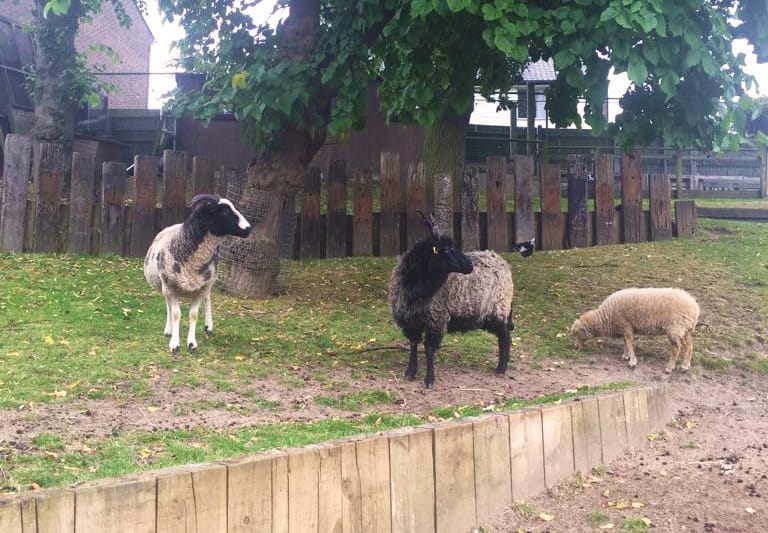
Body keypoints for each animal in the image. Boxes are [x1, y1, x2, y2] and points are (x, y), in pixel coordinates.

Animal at [144, 194, 252, 353]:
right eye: (224, 211)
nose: (249, 228)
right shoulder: (171, 288)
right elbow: (176, 314)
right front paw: (174, 343)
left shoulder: (200, 288)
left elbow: (193, 315)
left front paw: (191, 343)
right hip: (164, 286)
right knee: (168, 306)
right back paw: (169, 330)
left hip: (208, 282)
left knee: (208, 298)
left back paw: (208, 326)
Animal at [388, 211, 533, 387]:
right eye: (447, 249)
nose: (470, 265)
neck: (417, 288)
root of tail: (500, 259)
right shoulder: (410, 320)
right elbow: (413, 345)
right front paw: (410, 372)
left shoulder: (436, 319)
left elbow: (428, 349)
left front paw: (429, 380)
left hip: (497, 308)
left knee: (505, 338)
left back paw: (500, 369)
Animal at [570, 288, 700, 373]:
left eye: (577, 333)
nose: (575, 347)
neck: (606, 317)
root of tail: (695, 307)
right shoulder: (626, 327)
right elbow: (625, 343)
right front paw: (625, 356)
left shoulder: (626, 325)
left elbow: (629, 343)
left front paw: (632, 362)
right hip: (684, 329)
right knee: (689, 346)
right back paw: (685, 366)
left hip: (675, 327)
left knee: (676, 348)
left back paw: (669, 368)